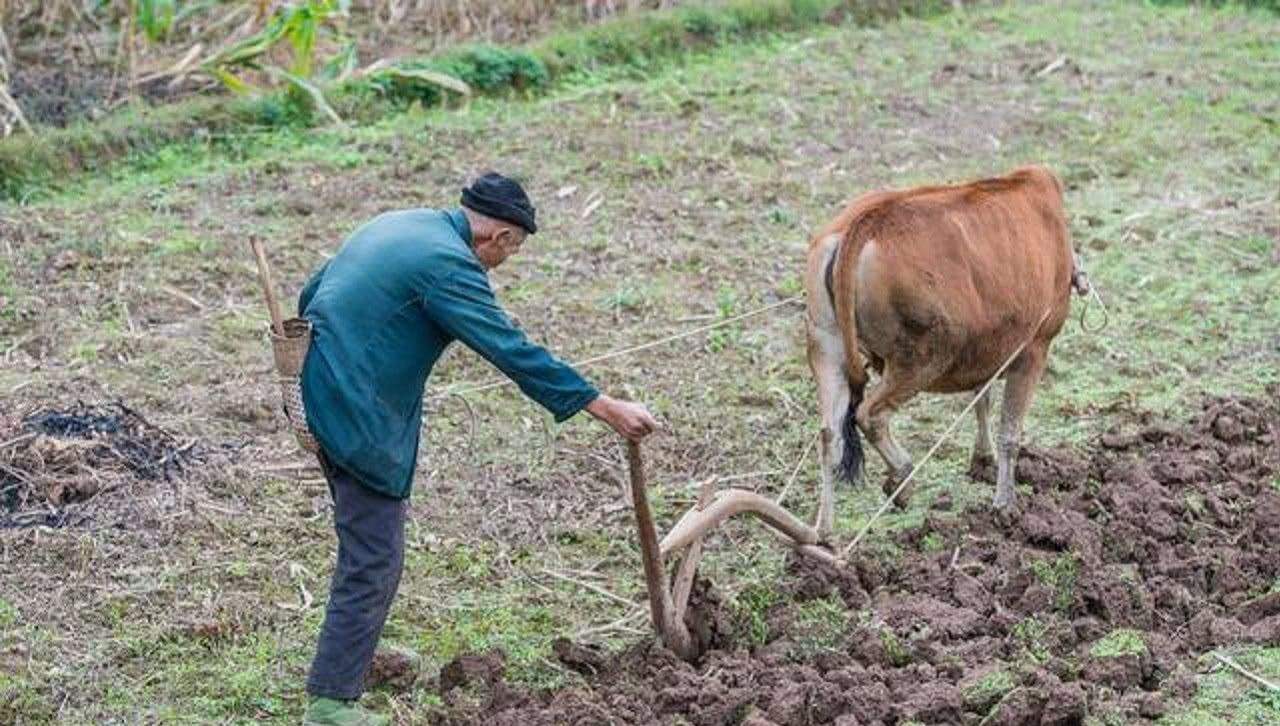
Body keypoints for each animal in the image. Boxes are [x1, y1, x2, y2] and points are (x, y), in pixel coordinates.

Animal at [808, 166, 1080, 540]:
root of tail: (864, 224)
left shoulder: (989, 348)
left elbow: (982, 400)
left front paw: (982, 461)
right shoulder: (1034, 349)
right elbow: (1010, 432)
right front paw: (1005, 506)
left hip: (826, 347)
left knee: (829, 435)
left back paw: (824, 532)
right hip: (919, 361)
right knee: (870, 415)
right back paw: (903, 478)